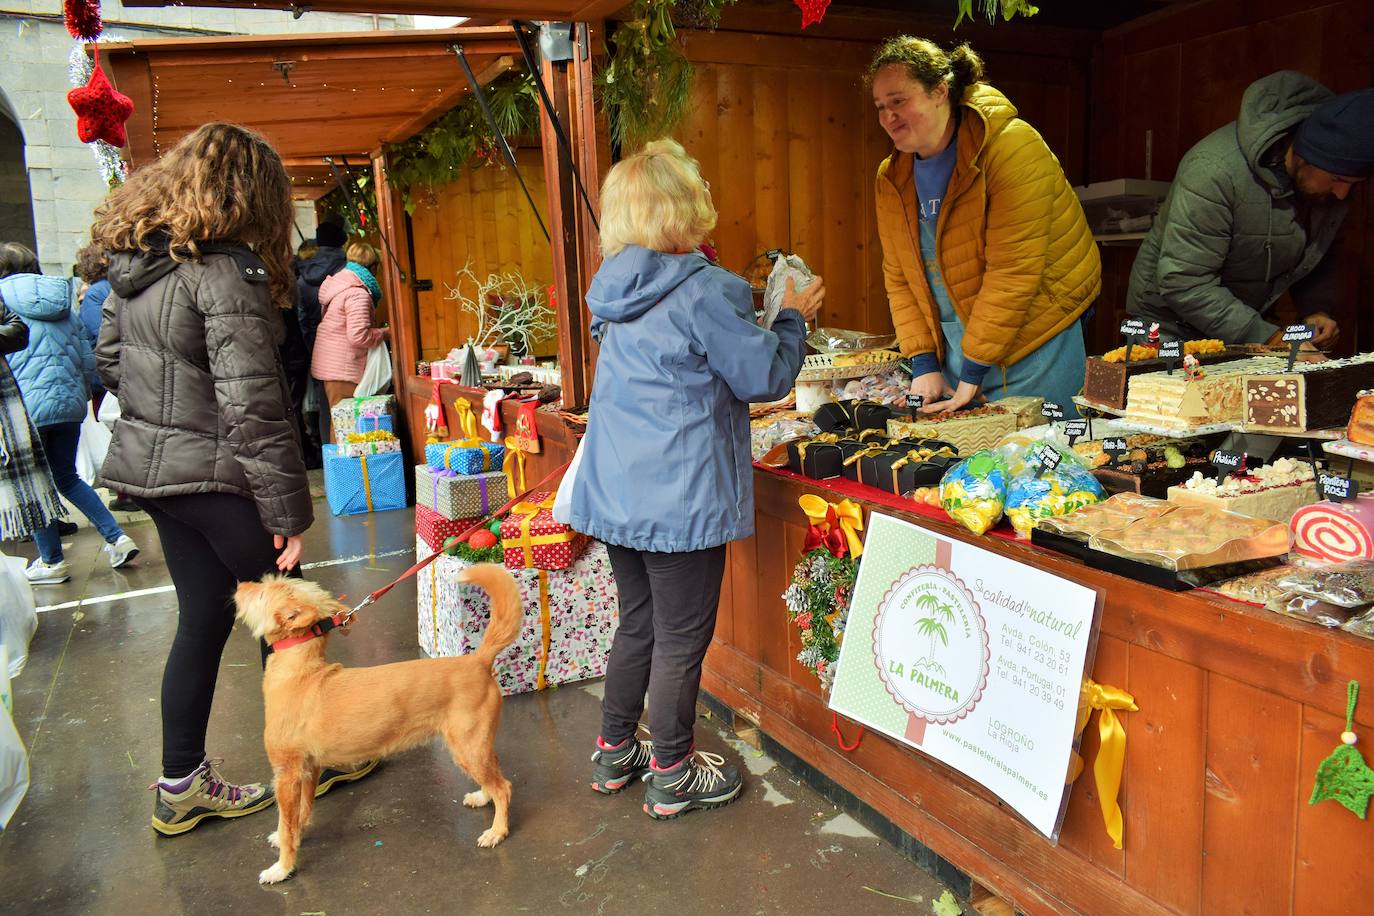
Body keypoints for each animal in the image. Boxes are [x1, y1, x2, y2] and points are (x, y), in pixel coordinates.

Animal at [234, 568, 519, 884]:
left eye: (262, 593)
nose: (240, 585)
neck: (301, 674)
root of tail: (477, 661)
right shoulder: (308, 769)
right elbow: (301, 813)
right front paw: (296, 837)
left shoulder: (286, 774)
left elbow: (286, 824)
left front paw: (282, 867)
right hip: (475, 746)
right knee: (494, 777)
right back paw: (482, 796)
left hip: (468, 748)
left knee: (504, 787)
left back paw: (497, 831)